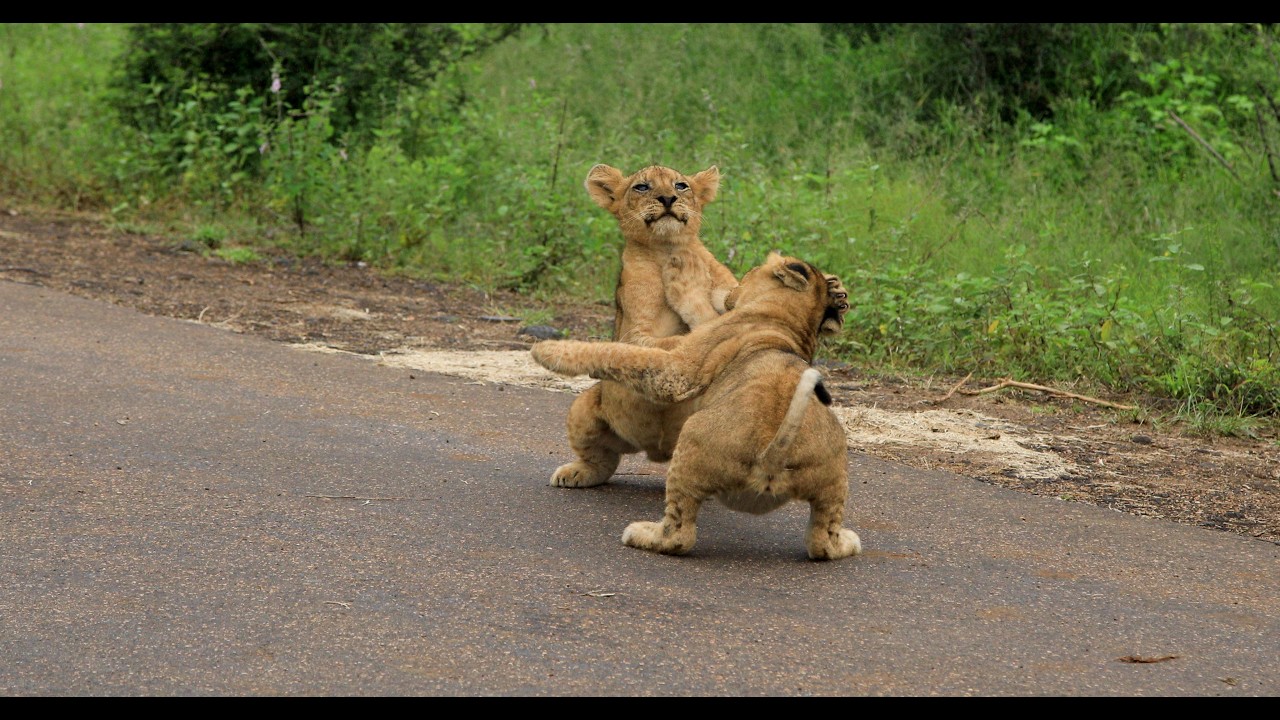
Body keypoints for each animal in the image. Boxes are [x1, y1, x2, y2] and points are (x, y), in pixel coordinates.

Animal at [533, 251, 862, 560]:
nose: (734, 286)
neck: (790, 322)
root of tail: (771, 460)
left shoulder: (679, 370)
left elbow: (622, 352)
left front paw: (547, 350)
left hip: (691, 439)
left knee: (679, 534)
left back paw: (642, 534)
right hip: (833, 475)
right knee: (822, 540)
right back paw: (848, 541)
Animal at [547, 163, 848, 489]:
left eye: (681, 185)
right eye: (642, 187)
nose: (667, 198)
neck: (667, 249)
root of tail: (655, 450)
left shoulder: (729, 292)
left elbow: (718, 305)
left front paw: (835, 293)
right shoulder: (635, 332)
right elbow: (668, 337)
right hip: (584, 408)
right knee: (602, 456)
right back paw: (576, 472)